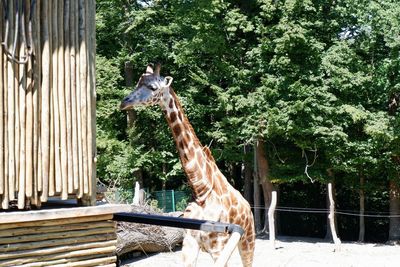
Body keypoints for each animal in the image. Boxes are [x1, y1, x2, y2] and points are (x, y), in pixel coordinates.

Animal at [120, 63, 255, 266]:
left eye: (153, 87)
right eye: (137, 82)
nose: (124, 102)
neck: (201, 190)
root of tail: (248, 206)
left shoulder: (218, 247)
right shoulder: (189, 242)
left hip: (247, 241)